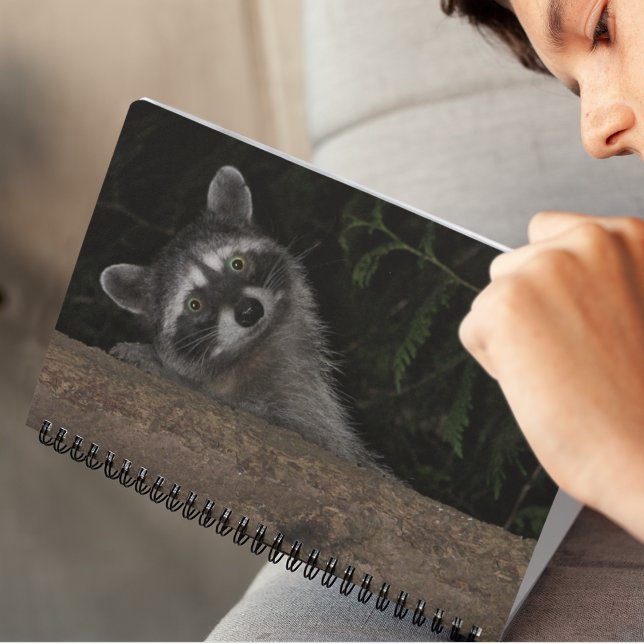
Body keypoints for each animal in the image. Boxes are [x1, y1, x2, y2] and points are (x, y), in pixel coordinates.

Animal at [100, 165, 381, 470]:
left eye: (237, 263)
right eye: (195, 304)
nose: (249, 311)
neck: (250, 349)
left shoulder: (305, 402)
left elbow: (287, 425)